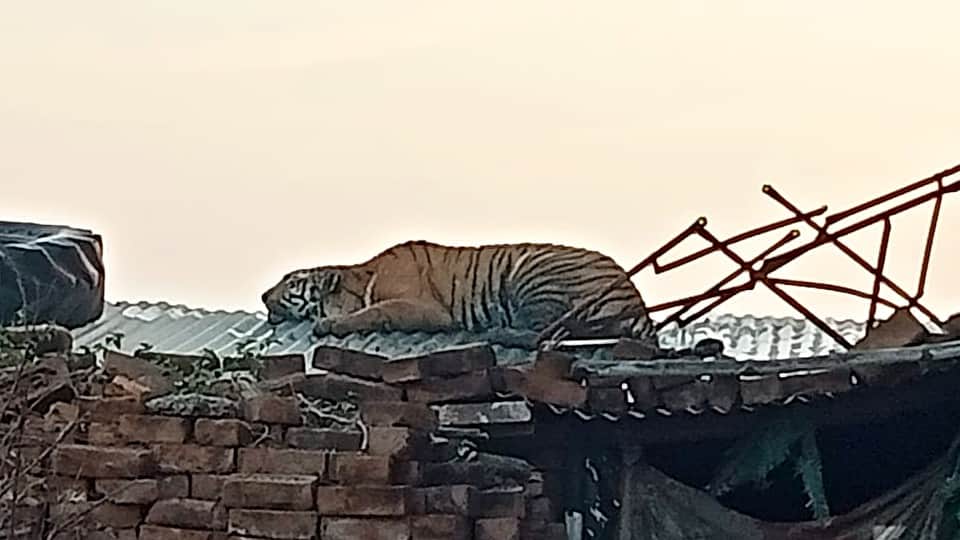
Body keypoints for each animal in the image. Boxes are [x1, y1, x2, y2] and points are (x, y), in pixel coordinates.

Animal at [261, 240, 657, 346]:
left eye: (290, 281)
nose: (263, 295)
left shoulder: (423, 307)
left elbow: (375, 311)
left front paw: (330, 325)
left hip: (533, 271)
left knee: (543, 333)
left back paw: (497, 331)